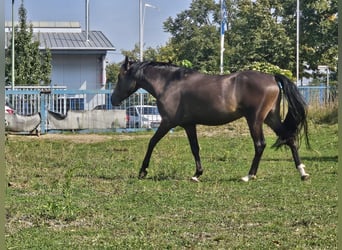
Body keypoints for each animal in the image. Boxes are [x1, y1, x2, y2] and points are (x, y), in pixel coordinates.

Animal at [111, 56, 310, 182]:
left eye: (120, 77)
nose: (113, 99)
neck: (170, 83)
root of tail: (272, 77)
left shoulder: (167, 122)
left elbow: (152, 142)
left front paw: (143, 171)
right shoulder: (189, 125)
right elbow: (195, 148)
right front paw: (197, 174)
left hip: (255, 119)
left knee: (260, 144)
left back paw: (248, 176)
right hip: (270, 118)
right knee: (290, 138)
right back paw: (302, 172)